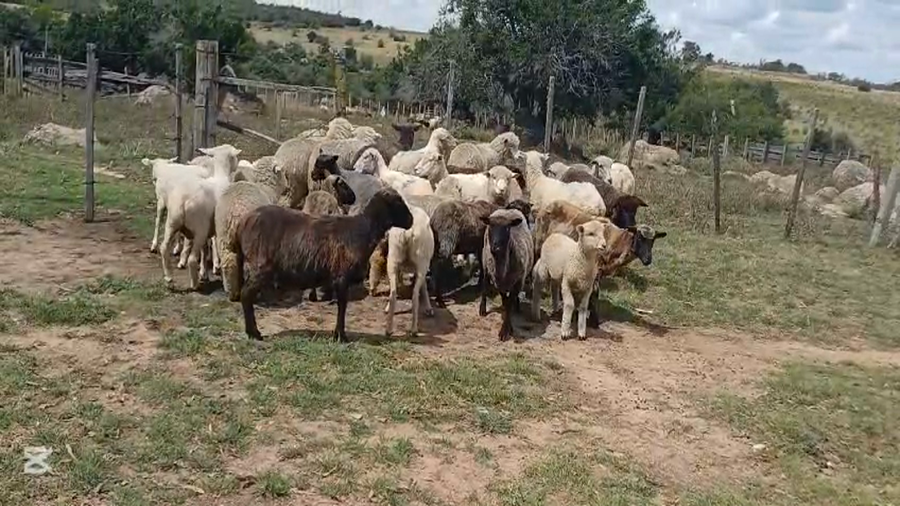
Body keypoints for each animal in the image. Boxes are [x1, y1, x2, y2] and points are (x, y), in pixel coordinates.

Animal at [157, 144, 241, 290]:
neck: (221, 176)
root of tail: (183, 200)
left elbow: (205, 251)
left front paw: (204, 273)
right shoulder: (217, 229)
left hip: (172, 222)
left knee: (164, 248)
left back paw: (168, 278)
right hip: (200, 228)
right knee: (191, 259)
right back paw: (194, 284)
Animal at [231, 187, 414, 341]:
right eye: (398, 202)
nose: (411, 221)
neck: (363, 231)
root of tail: (241, 224)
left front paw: (339, 334)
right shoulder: (341, 276)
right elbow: (342, 306)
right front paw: (341, 336)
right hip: (260, 266)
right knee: (246, 295)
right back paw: (254, 333)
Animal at [382, 206, 435, 337]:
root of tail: (407, 232)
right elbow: (424, 287)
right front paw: (428, 308)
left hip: (393, 258)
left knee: (393, 293)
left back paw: (388, 329)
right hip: (422, 262)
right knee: (415, 295)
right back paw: (414, 329)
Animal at [481, 208, 534, 341]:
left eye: (507, 228)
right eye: (491, 226)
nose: (496, 248)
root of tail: (506, 209)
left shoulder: (518, 282)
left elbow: (509, 304)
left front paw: (505, 330)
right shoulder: (498, 282)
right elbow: (506, 303)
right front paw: (506, 328)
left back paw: (517, 307)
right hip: (485, 262)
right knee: (484, 282)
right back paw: (482, 309)